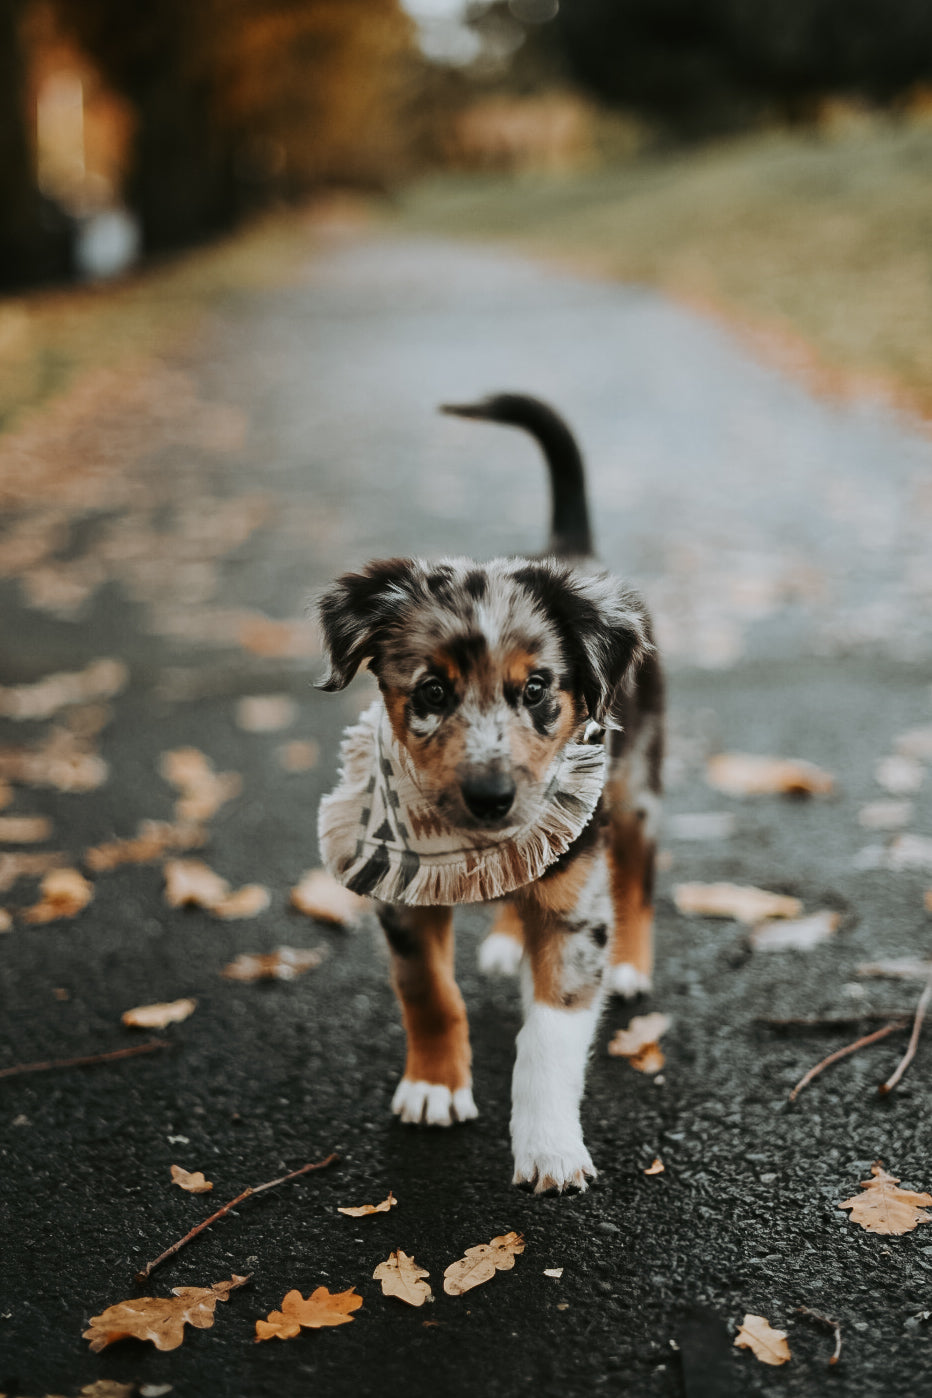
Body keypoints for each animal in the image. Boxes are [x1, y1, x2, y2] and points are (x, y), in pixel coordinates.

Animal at [321, 394, 662, 1191]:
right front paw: (434, 1087)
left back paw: (633, 964)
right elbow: (427, 992)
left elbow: (550, 1037)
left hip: (636, 787)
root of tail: (571, 550)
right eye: (432, 692)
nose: (491, 799)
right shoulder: (402, 896)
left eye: (536, 689)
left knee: (639, 871)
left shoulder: (576, 911)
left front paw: (550, 1149)